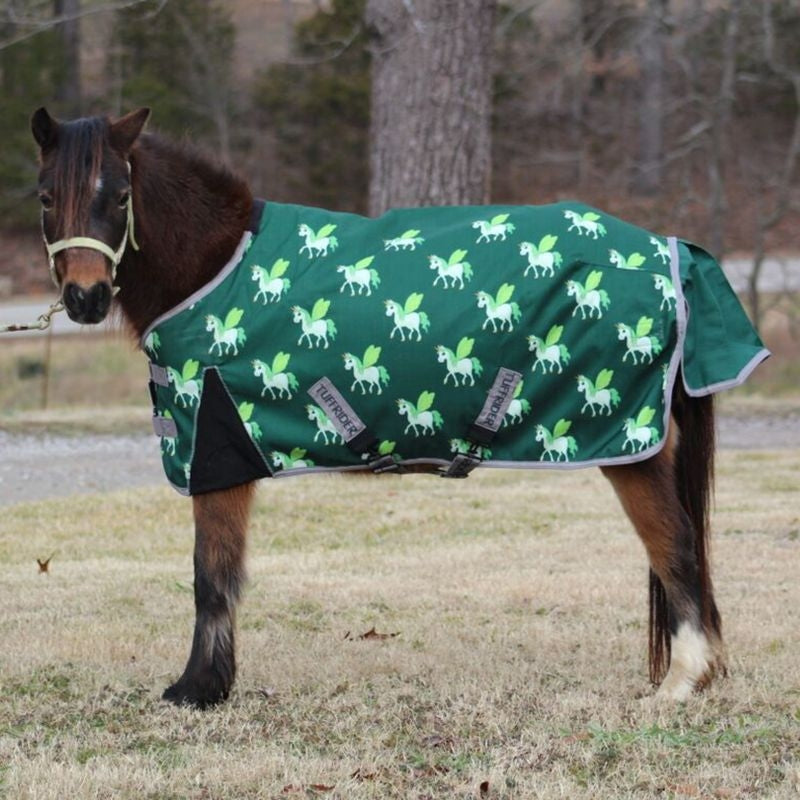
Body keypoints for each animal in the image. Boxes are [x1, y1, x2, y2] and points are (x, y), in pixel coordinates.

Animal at [32, 107, 726, 708]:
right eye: (45, 197)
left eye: (120, 196)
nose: (86, 297)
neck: (213, 267)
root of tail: (671, 252)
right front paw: (209, 684)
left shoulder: (217, 452)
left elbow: (211, 576)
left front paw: (198, 689)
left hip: (633, 451)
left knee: (676, 549)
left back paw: (680, 684)